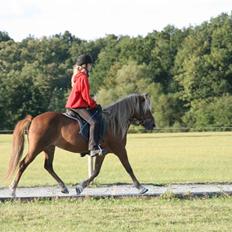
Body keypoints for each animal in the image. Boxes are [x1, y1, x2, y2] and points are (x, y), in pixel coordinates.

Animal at [6, 92, 156, 196]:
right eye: (147, 109)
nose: (153, 124)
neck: (114, 122)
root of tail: (33, 119)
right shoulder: (120, 149)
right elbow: (128, 168)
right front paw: (141, 187)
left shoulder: (103, 152)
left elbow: (95, 172)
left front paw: (80, 187)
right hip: (36, 147)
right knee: (23, 164)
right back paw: (13, 189)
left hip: (49, 147)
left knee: (48, 166)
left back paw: (63, 187)